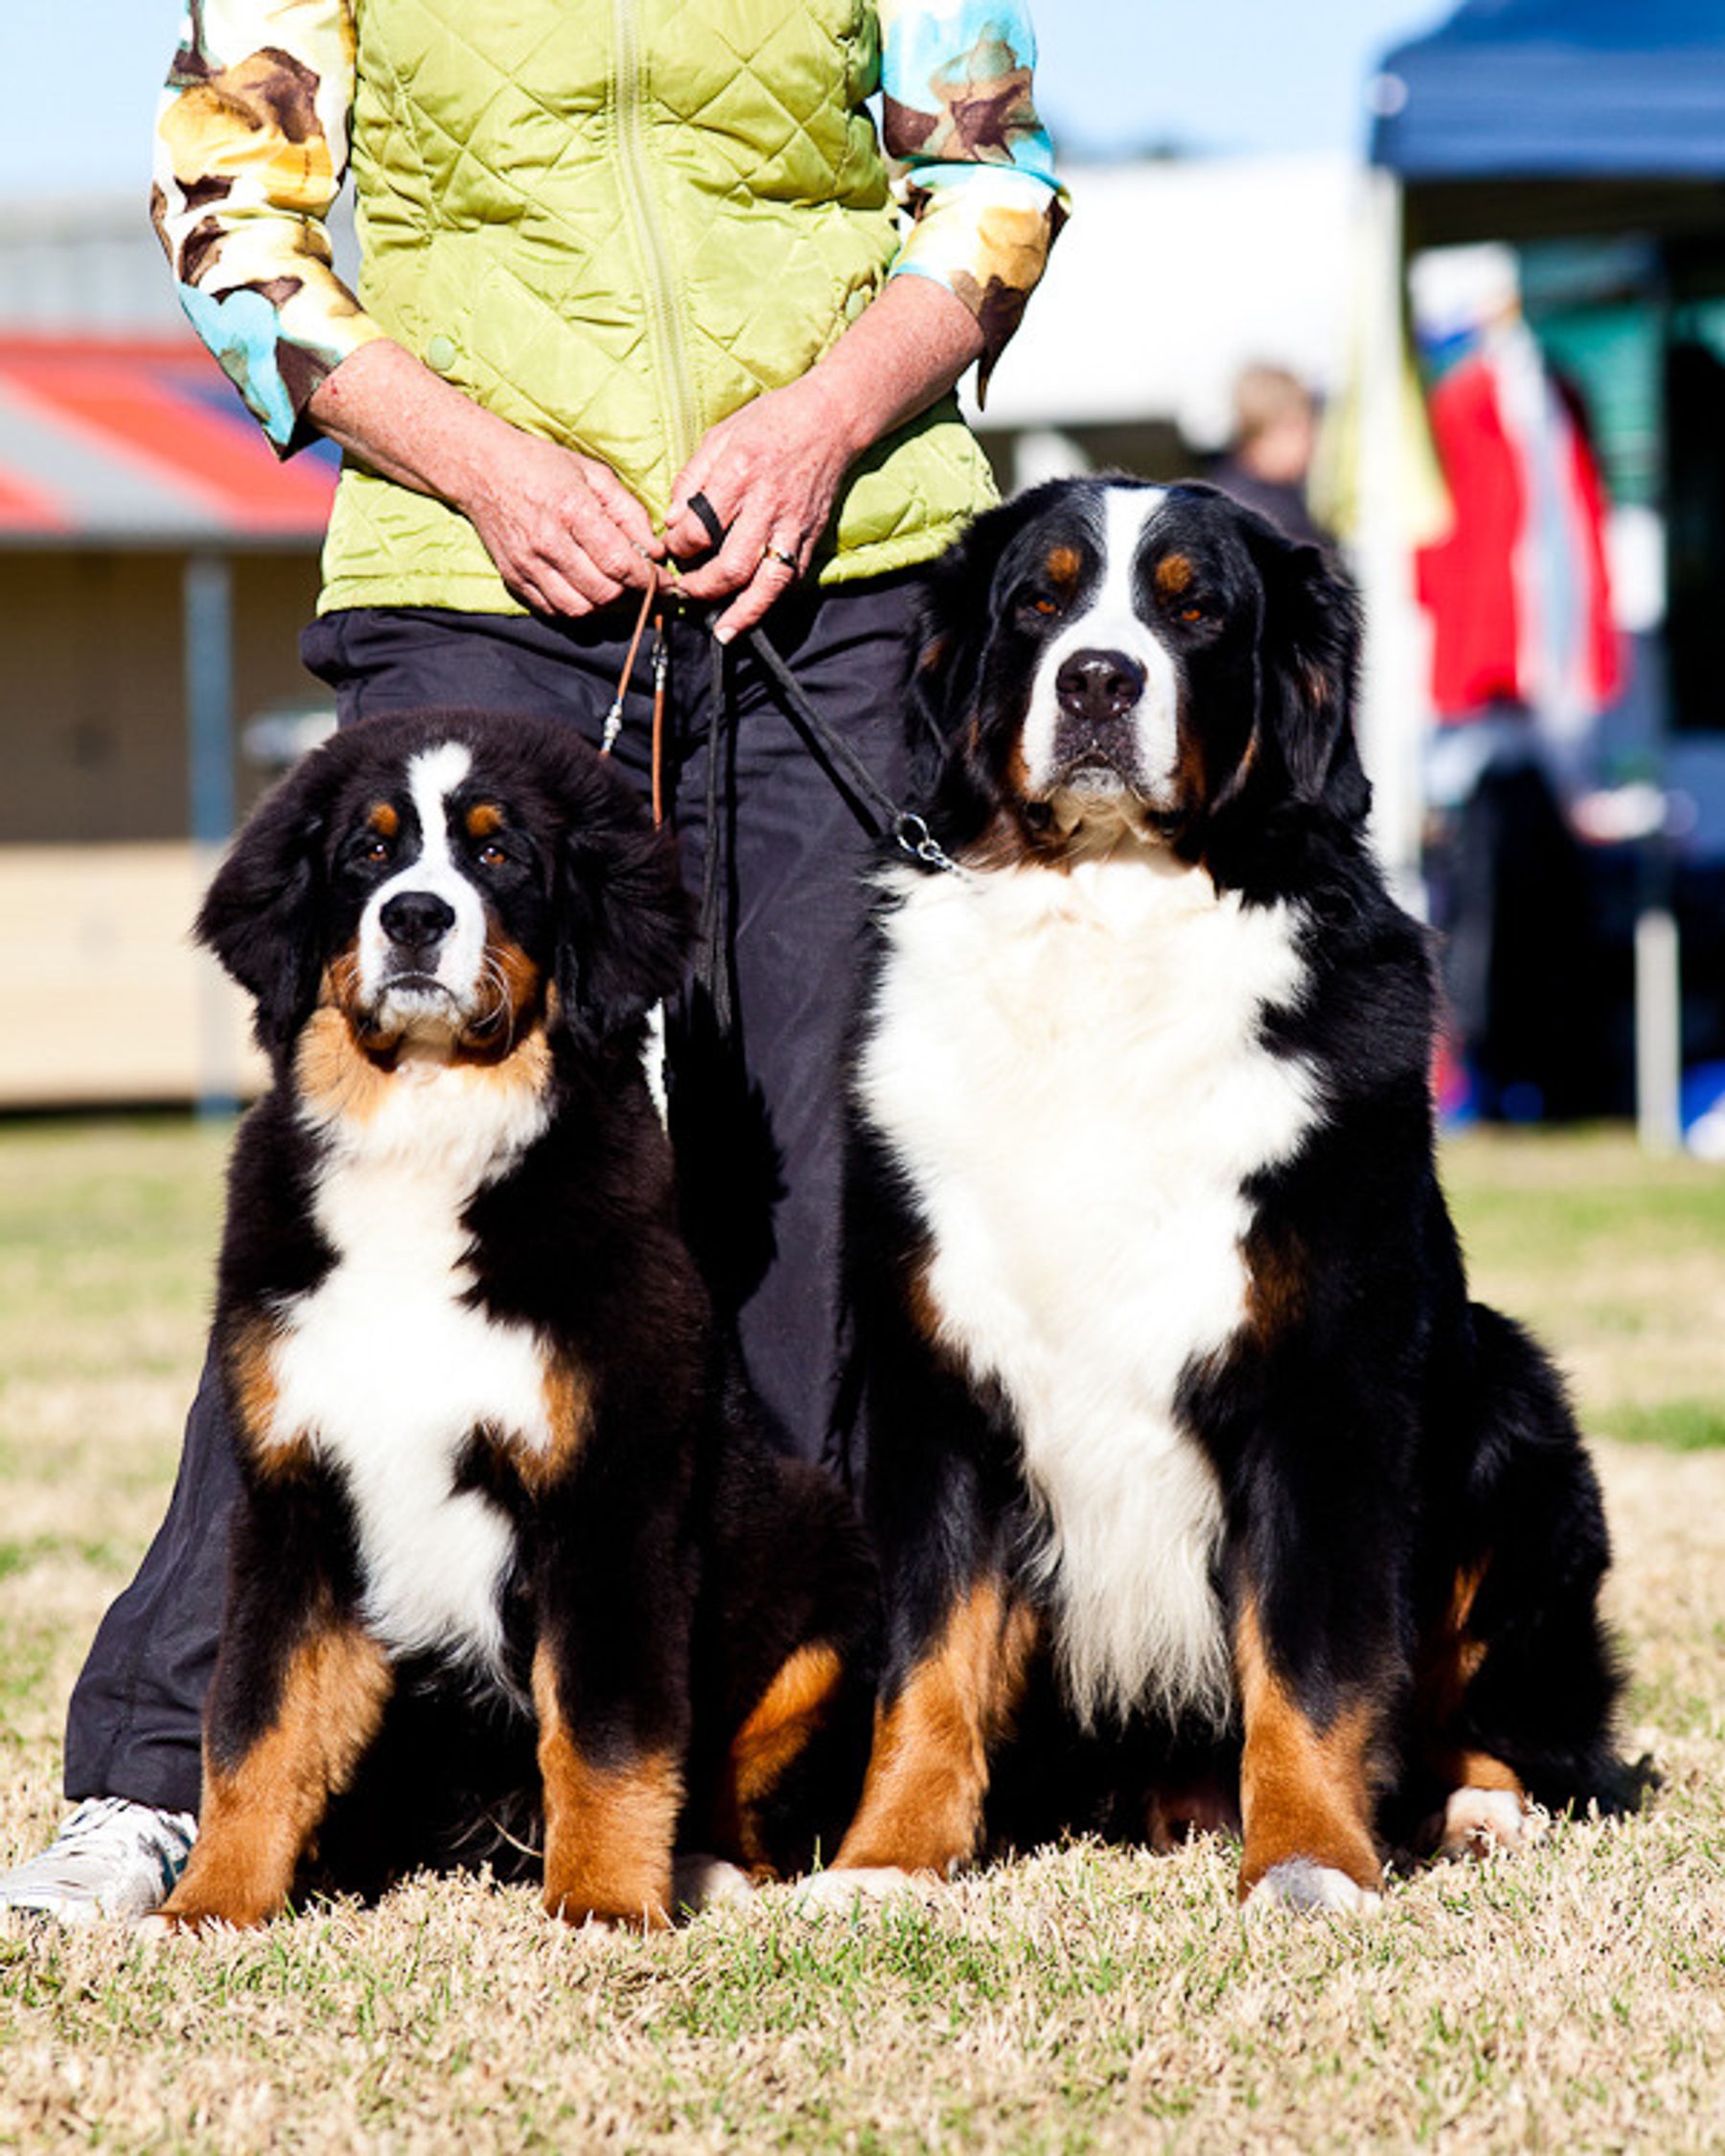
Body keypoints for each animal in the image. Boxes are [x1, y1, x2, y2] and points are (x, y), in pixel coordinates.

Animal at [152, 711, 875, 1940]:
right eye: (369, 852)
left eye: (498, 856)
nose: (415, 916)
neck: (426, 1135)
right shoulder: (296, 1497)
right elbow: (255, 1723)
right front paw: (206, 1909)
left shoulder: (609, 1497)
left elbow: (608, 1730)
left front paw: (604, 1908)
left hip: (823, 1579)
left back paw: (708, 1870)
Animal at [815, 480, 1639, 1915]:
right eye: (1040, 600)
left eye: (1194, 610)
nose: (1097, 677)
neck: (1103, 935)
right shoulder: (936, 1381)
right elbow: (928, 1660)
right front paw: (887, 1861)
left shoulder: (1325, 1382)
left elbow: (1310, 1657)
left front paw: (1308, 1861)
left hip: (1516, 1412)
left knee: (1521, 1716)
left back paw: (1479, 1807)